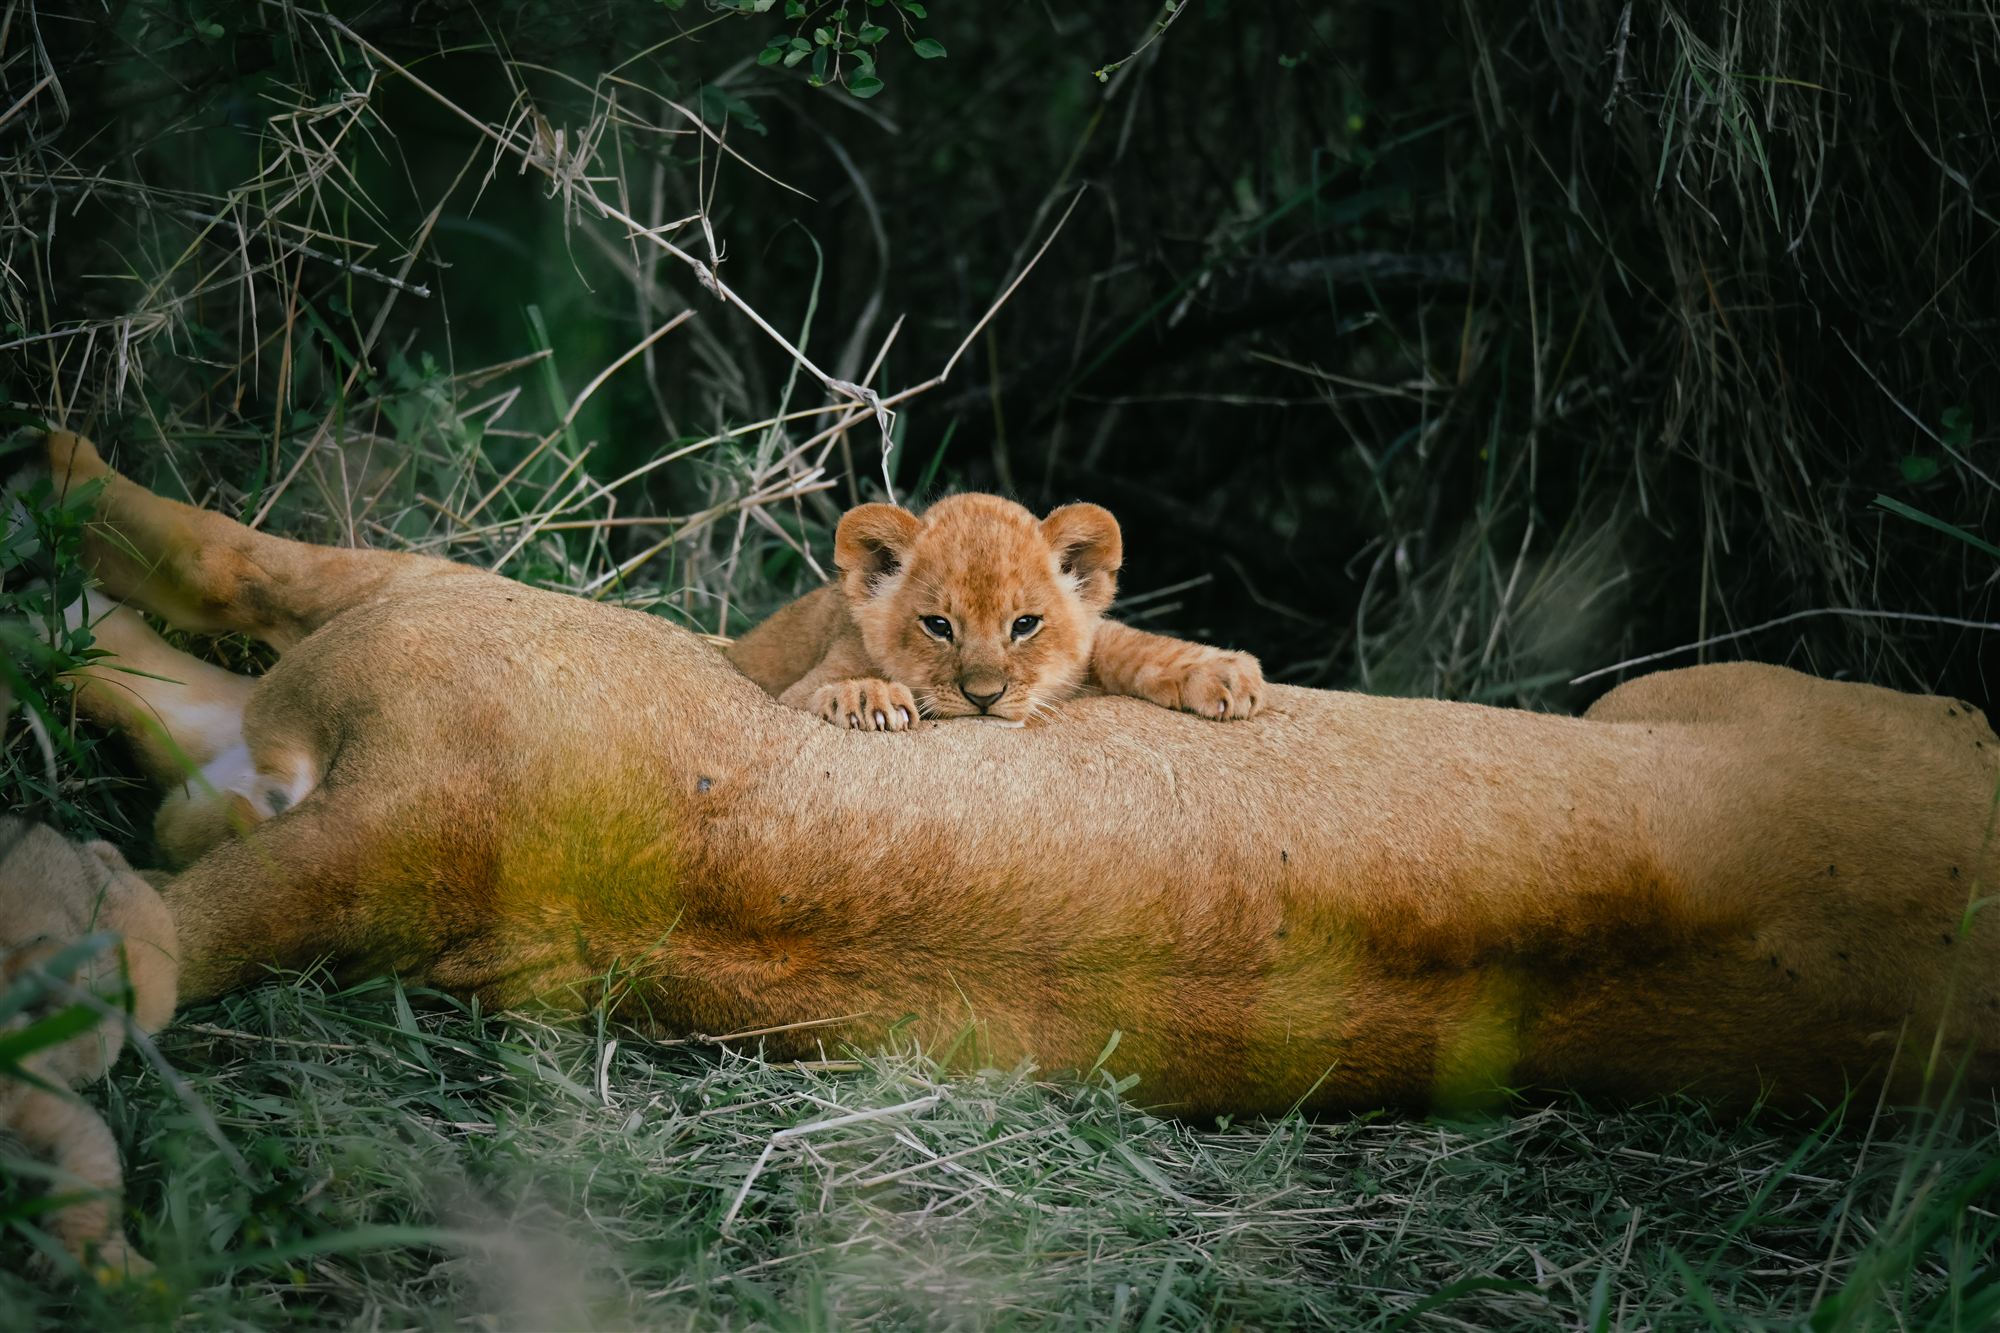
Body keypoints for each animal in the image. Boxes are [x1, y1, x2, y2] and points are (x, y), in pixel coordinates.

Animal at [727, 494, 1264, 730]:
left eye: (1025, 625)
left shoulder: (1087, 646)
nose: (984, 698)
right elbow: (814, 693)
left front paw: (1224, 673)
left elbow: (1122, 641)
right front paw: (865, 697)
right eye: (937, 626)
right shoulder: (798, 686)